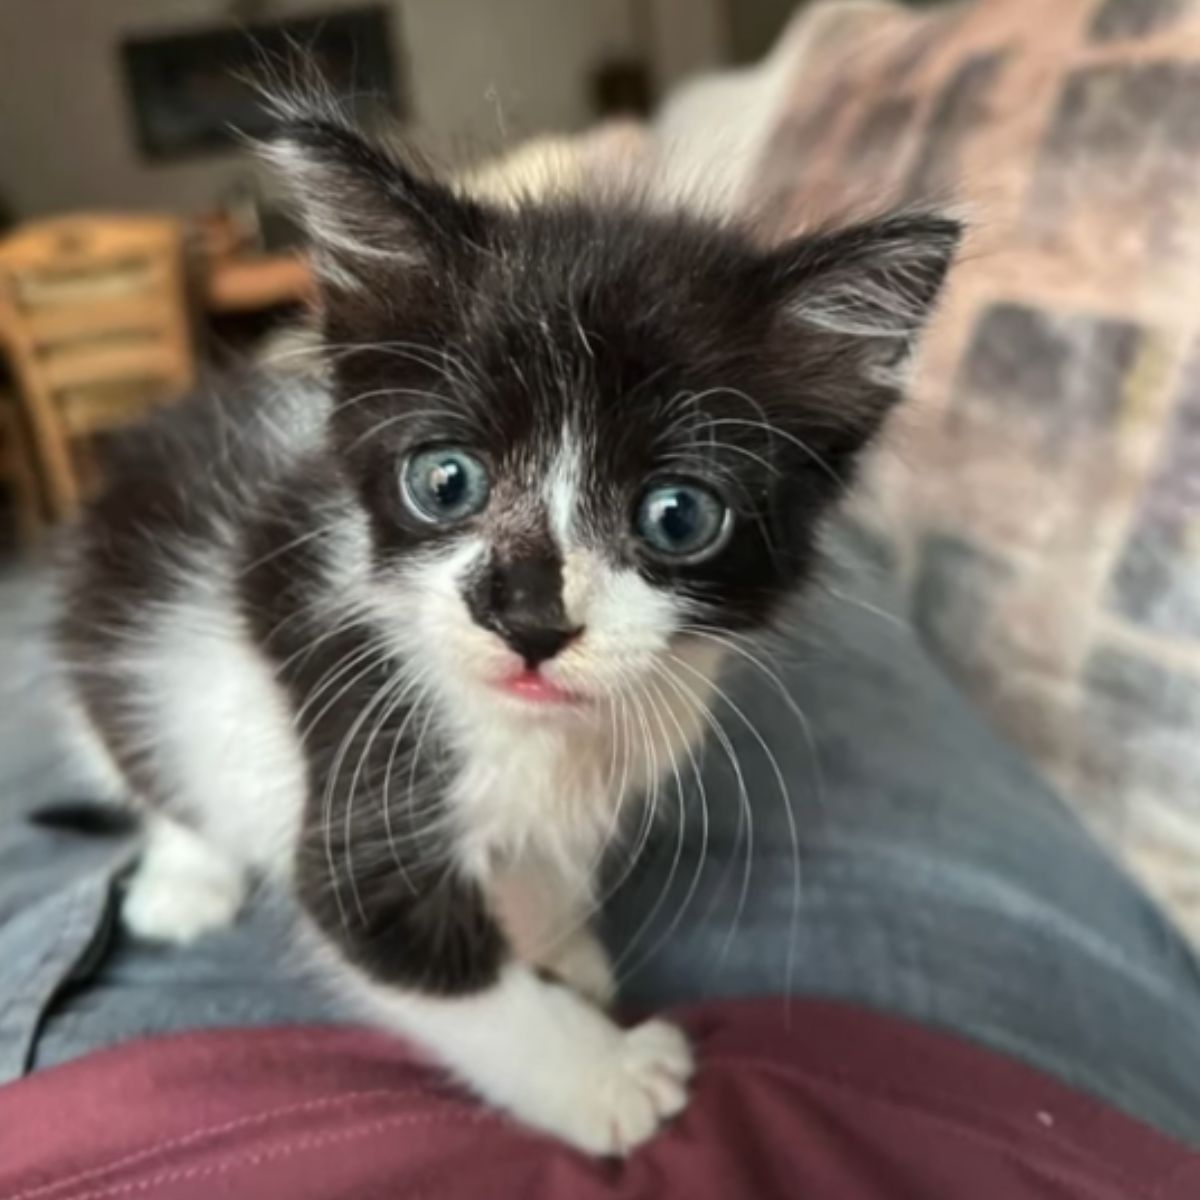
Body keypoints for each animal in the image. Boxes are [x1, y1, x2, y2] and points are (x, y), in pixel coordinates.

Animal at [56, 96, 960, 1152]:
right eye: (446, 480)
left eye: (678, 515)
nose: (528, 616)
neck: (534, 733)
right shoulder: (363, 746)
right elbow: (436, 966)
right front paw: (605, 1075)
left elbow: (544, 864)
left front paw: (558, 944)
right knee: (147, 765)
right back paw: (185, 879)